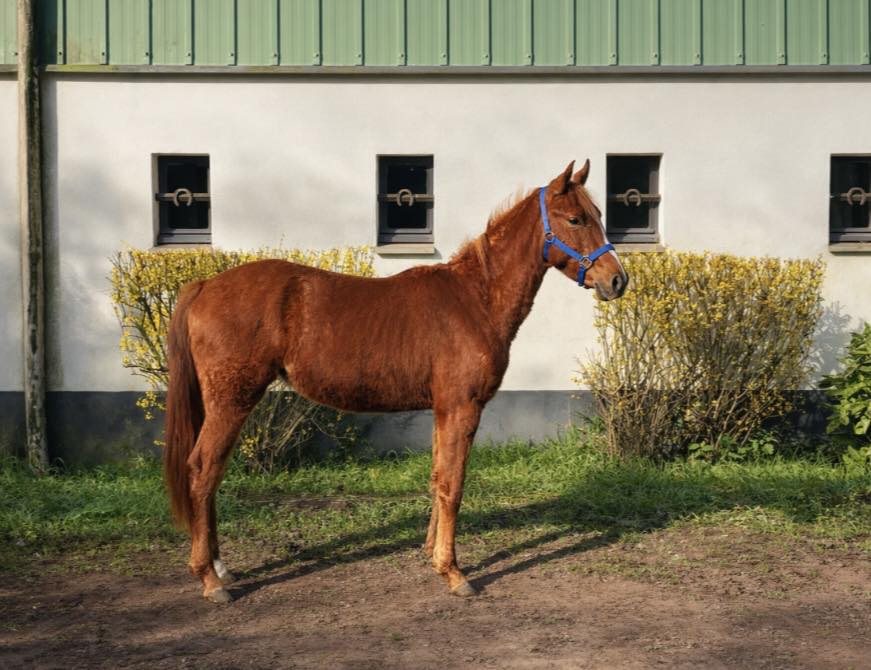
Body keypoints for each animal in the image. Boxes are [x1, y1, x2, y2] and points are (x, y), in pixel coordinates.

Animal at [164, 160, 628, 603]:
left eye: (599, 215)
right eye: (575, 219)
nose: (617, 280)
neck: (474, 299)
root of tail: (204, 285)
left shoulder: (444, 409)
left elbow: (438, 478)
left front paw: (432, 554)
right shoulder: (462, 407)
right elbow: (453, 485)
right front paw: (454, 572)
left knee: (212, 474)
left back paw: (221, 566)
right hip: (233, 400)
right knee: (203, 469)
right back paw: (210, 579)